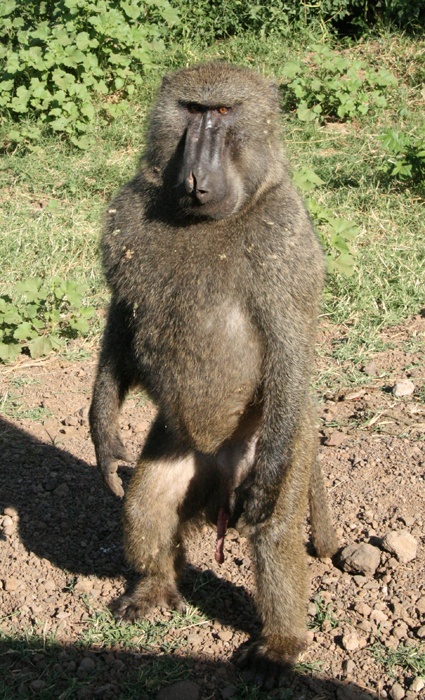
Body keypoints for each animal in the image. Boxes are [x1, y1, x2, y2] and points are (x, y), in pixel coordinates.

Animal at [89, 61, 338, 688]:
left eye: (224, 113)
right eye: (193, 110)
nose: (197, 175)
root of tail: (221, 466)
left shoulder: (283, 240)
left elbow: (290, 345)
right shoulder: (129, 219)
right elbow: (123, 315)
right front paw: (103, 429)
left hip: (286, 439)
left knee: (271, 531)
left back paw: (280, 645)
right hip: (177, 443)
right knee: (148, 503)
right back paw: (153, 590)